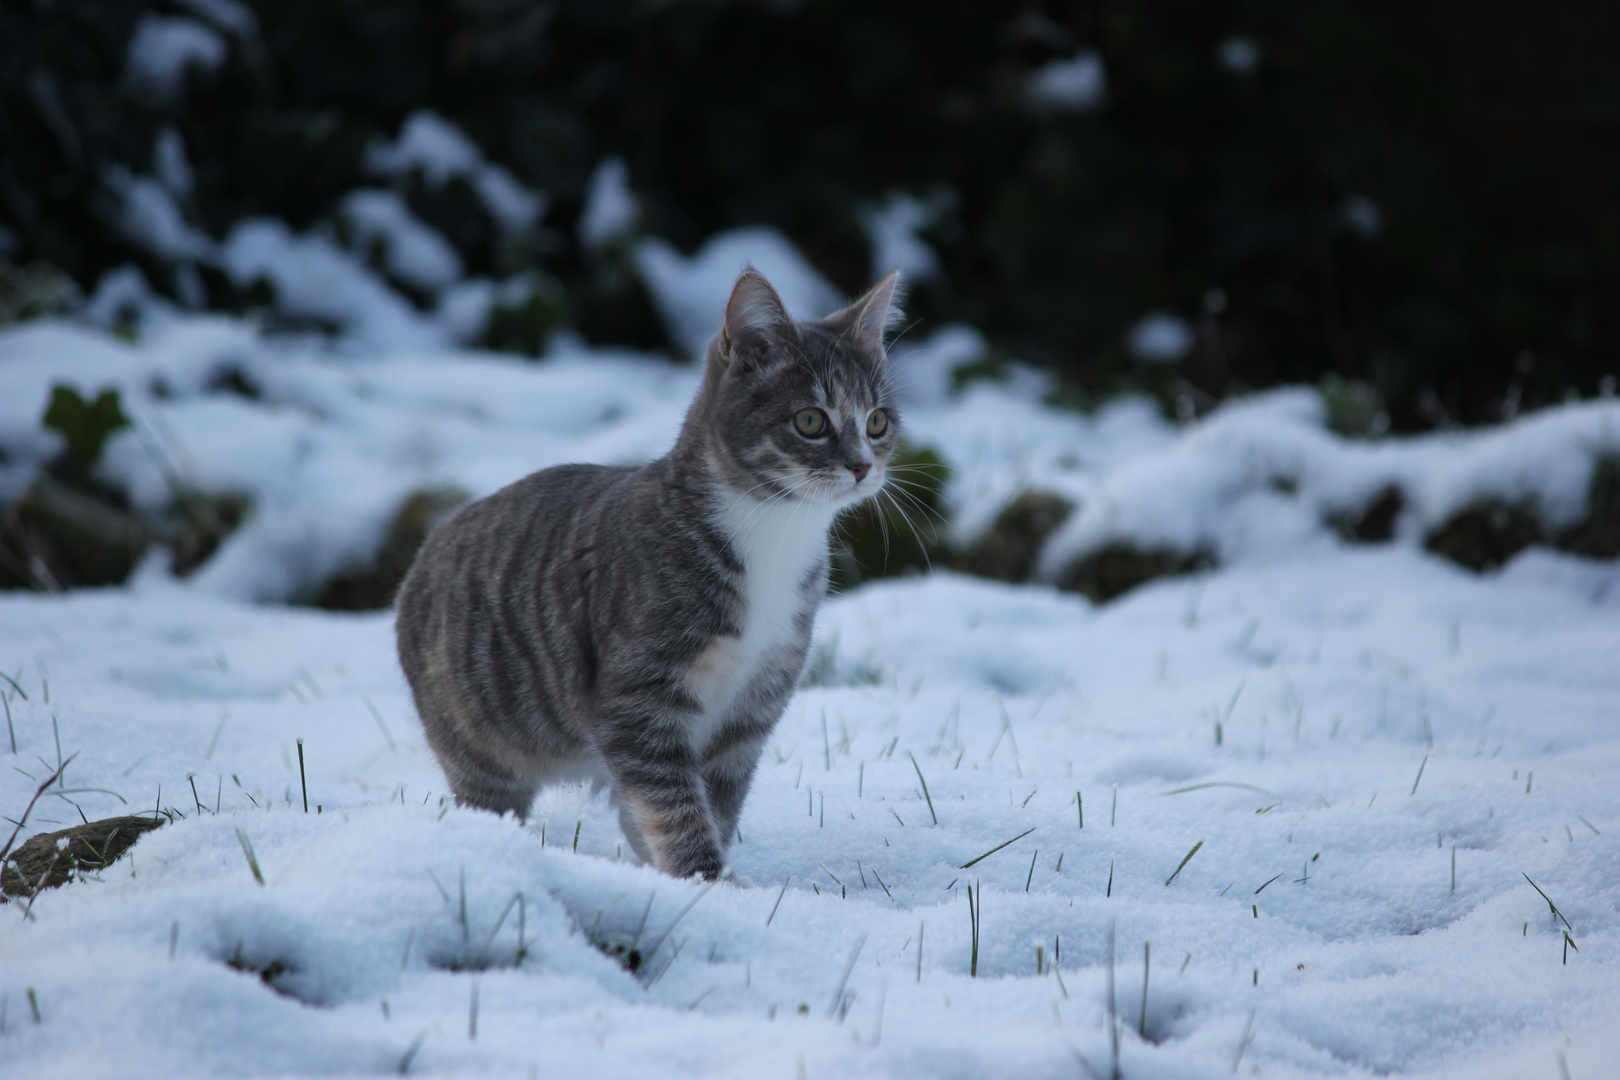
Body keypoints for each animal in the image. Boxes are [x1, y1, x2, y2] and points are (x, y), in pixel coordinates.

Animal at [390, 268, 900, 880]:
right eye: (810, 421)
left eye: (877, 421)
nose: (862, 466)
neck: (774, 539)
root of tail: (425, 554)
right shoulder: (637, 697)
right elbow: (672, 800)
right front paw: (706, 881)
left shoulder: (755, 702)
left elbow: (715, 799)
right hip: (475, 734)